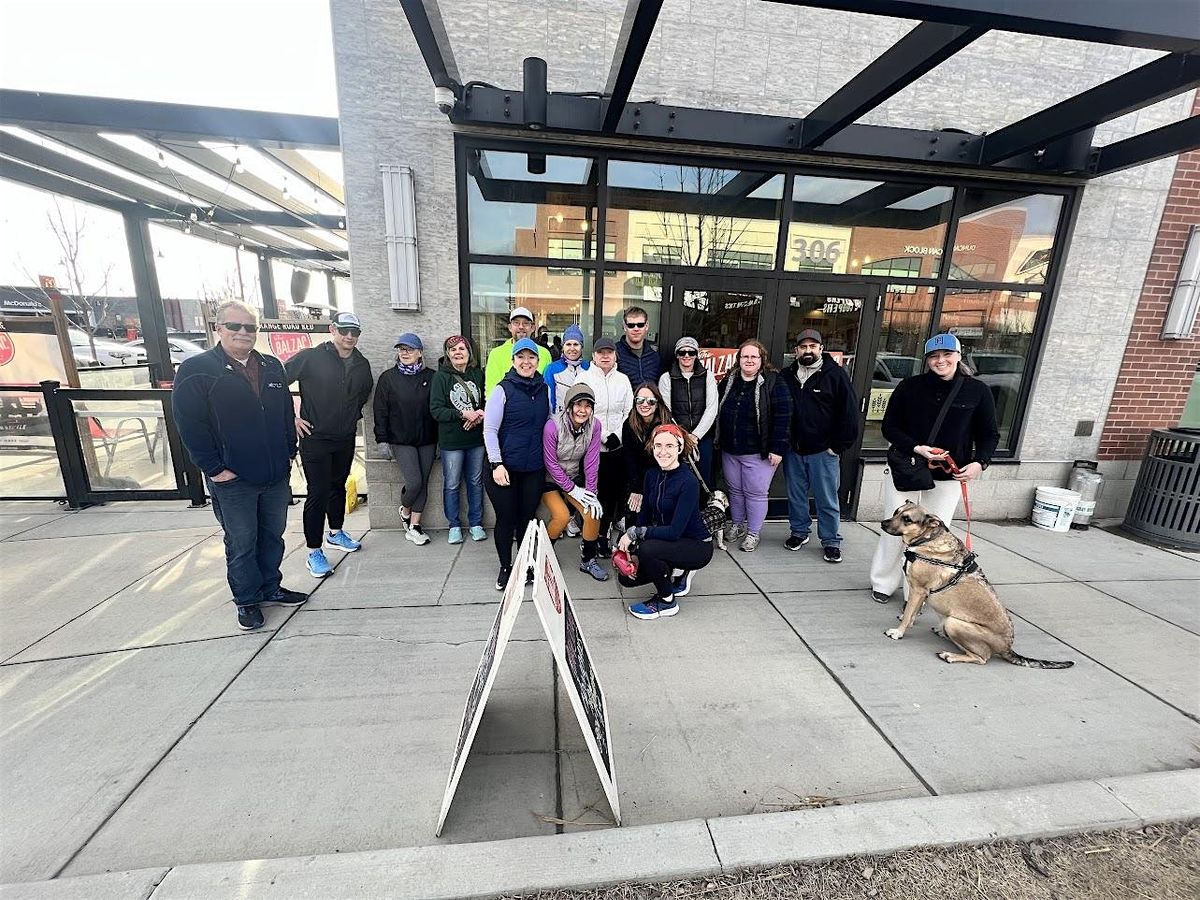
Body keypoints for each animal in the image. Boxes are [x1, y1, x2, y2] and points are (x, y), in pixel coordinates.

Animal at [879, 501, 1073, 668]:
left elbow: (908, 614)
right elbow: (912, 613)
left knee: (982, 658)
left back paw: (951, 655)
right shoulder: (920, 592)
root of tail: (1007, 647)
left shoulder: (919, 590)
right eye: (896, 511)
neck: (927, 540)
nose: (883, 523)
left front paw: (898, 632)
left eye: (907, 519)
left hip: (954, 623)